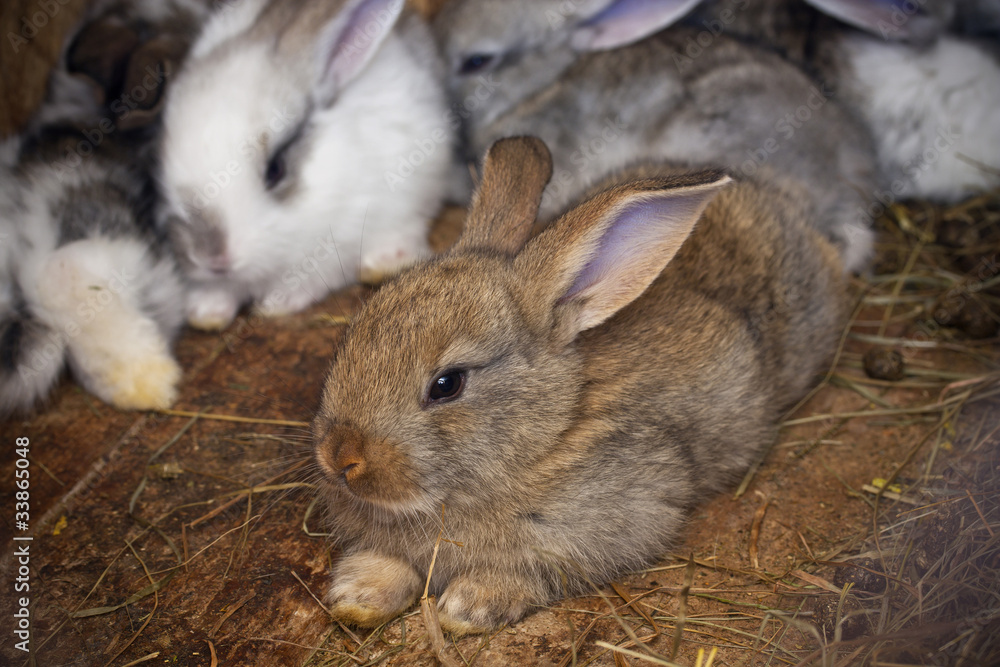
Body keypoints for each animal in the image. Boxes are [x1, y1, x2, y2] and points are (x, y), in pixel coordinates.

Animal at [157, 0, 455, 331]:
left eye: (275, 169)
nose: (212, 258)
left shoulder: (336, 245)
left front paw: (275, 305)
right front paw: (205, 312)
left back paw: (386, 260)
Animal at [311, 136, 847, 635]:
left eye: (447, 384)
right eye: (353, 333)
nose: (340, 457)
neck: (547, 431)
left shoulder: (620, 520)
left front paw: (469, 607)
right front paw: (358, 597)